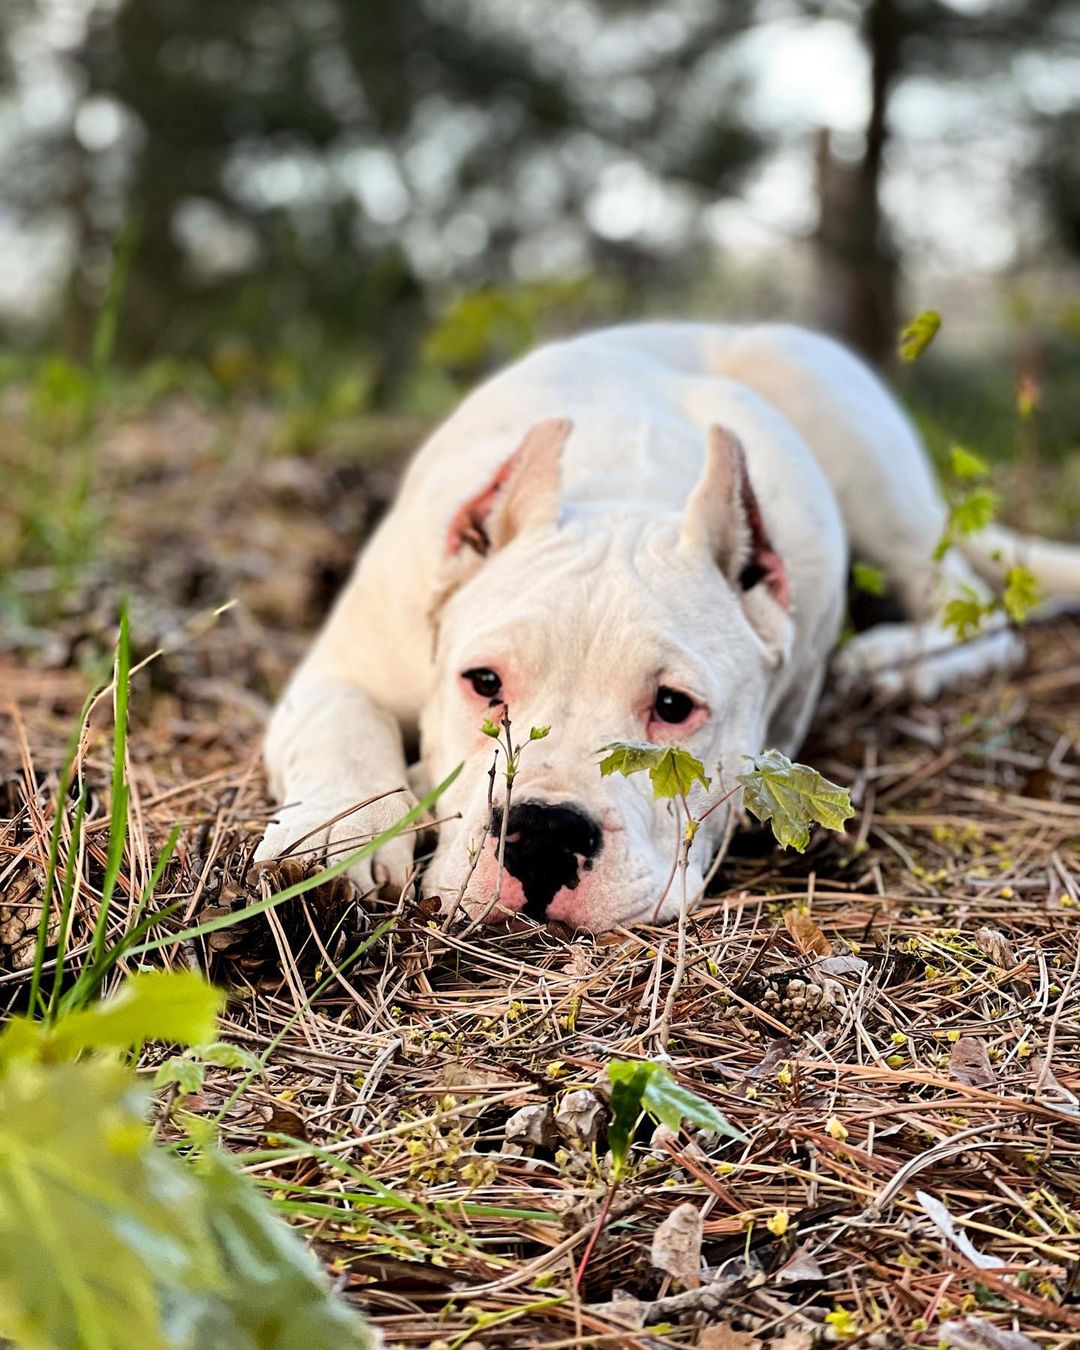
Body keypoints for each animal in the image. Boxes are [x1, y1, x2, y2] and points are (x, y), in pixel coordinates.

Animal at [255, 322, 1080, 934]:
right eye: (483, 683)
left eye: (674, 707)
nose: (543, 834)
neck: (627, 489)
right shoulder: (342, 669)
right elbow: (342, 728)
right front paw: (332, 839)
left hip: (857, 451)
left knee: (969, 598)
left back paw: (896, 664)